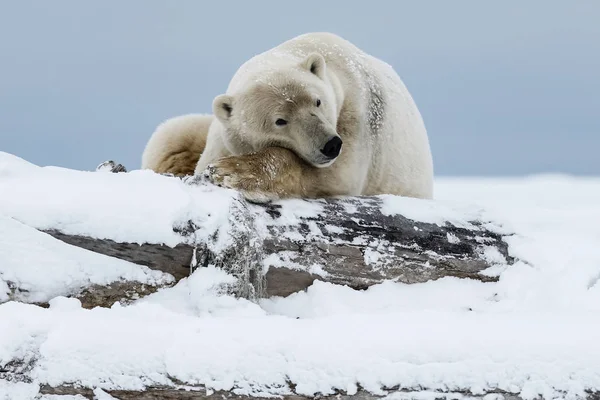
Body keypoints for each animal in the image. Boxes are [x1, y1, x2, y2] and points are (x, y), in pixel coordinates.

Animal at [143, 31, 434, 202]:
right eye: (280, 121)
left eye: (318, 101)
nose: (330, 145)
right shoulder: (223, 134)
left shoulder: (356, 114)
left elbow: (337, 175)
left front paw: (231, 171)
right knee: (171, 134)